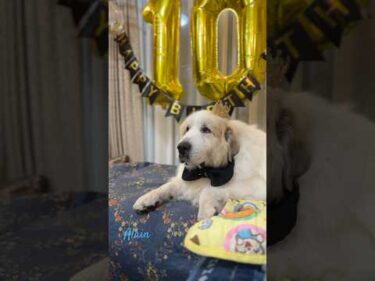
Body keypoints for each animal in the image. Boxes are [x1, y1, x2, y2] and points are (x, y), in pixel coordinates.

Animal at [134, 104, 266, 220]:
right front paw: (146, 199)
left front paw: (205, 213)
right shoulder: (186, 181)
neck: (206, 171)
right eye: (187, 129)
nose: (181, 147)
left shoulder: (256, 185)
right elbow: (166, 186)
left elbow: (208, 190)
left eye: (206, 129)